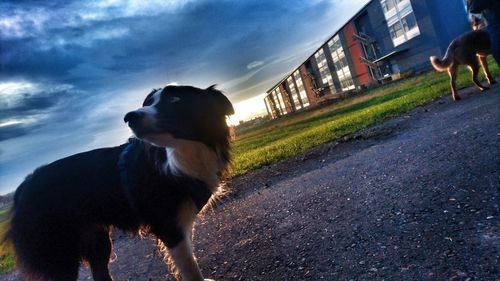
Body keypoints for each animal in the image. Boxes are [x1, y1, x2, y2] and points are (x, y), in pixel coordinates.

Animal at [6, 84, 234, 278]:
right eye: (148, 102)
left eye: (175, 99)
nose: (129, 116)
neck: (179, 154)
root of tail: (23, 187)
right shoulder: (169, 227)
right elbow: (190, 269)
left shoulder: (181, 222)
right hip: (59, 254)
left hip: (96, 240)